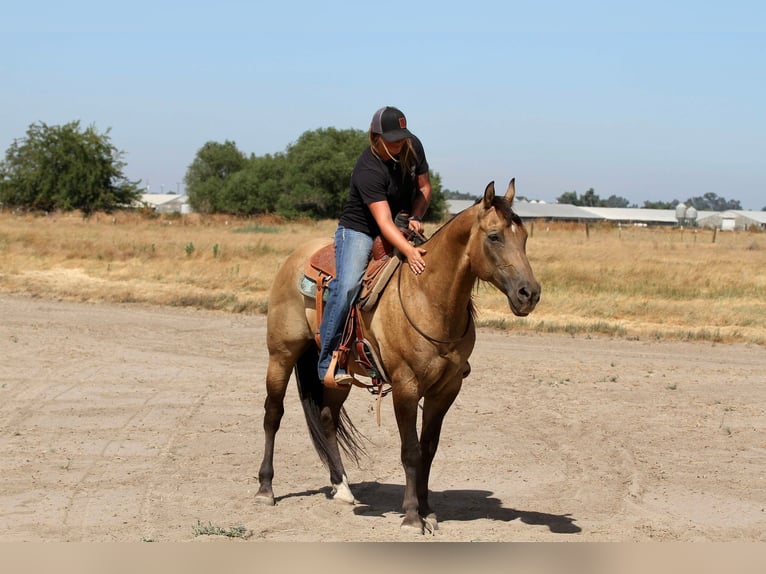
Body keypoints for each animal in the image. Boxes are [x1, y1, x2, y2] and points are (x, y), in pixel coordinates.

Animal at [255, 179, 540, 534]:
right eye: (494, 236)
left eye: (524, 237)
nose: (529, 294)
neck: (428, 297)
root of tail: (296, 258)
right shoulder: (406, 386)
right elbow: (410, 450)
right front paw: (412, 516)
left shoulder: (446, 390)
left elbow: (428, 449)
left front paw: (428, 510)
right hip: (281, 353)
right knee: (273, 414)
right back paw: (266, 489)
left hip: (338, 374)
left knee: (327, 417)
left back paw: (342, 487)